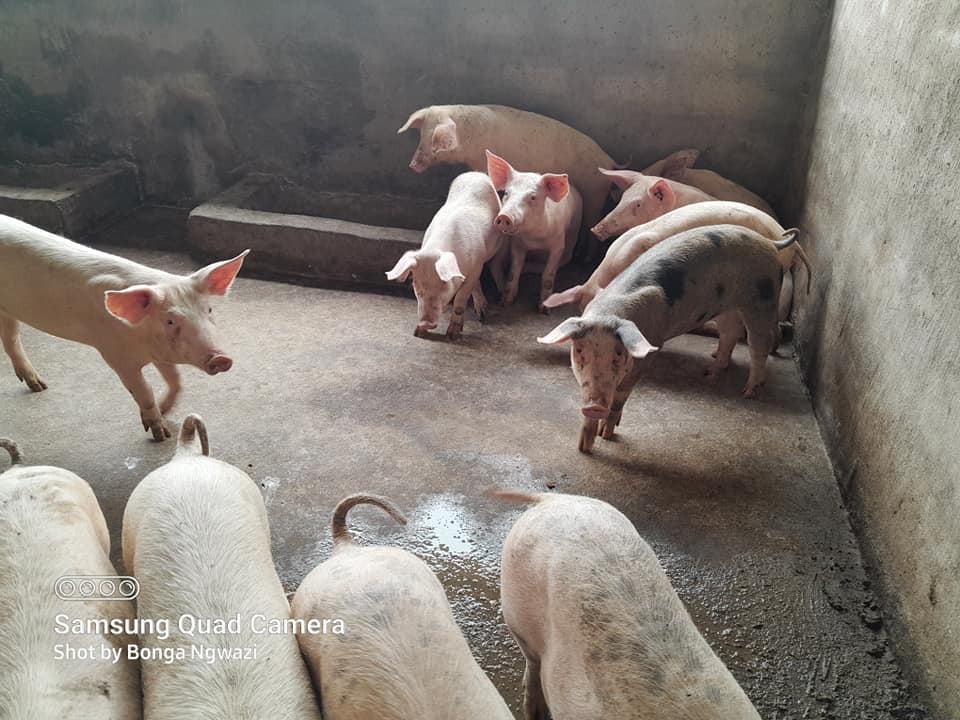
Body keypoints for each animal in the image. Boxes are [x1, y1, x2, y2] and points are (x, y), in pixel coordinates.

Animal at [0, 214, 248, 441]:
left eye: (209, 310)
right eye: (170, 321)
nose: (221, 358)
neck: (144, 343)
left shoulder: (161, 353)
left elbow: (176, 380)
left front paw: (164, 408)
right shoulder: (115, 355)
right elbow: (143, 390)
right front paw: (160, 434)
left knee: (11, 338)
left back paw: (38, 386)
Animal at [386, 171, 504, 339]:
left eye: (444, 283)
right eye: (416, 284)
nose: (425, 322)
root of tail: (475, 173)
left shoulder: (474, 267)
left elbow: (460, 299)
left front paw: (452, 335)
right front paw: (418, 332)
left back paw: (483, 313)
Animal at [398, 104, 614, 235]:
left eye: (434, 143)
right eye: (421, 137)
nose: (412, 165)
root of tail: (608, 160)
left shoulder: (480, 160)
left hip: (595, 193)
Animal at [485, 150, 583, 310]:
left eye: (533, 197)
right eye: (506, 193)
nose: (505, 216)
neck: (534, 238)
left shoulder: (558, 245)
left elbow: (548, 275)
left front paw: (544, 310)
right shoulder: (516, 244)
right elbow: (513, 272)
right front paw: (505, 303)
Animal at [539, 224, 798, 452]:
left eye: (619, 354)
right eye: (579, 351)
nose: (593, 407)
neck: (610, 312)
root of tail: (771, 243)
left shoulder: (647, 355)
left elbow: (620, 398)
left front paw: (607, 435)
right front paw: (584, 446)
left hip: (763, 300)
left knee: (759, 344)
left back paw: (748, 392)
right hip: (726, 307)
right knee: (730, 332)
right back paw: (711, 371)